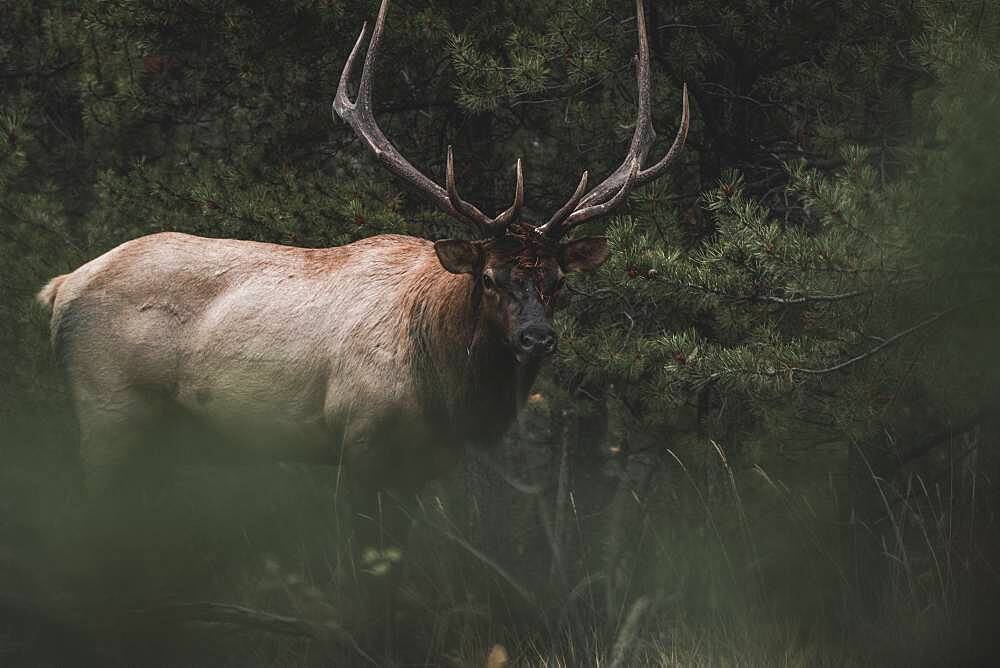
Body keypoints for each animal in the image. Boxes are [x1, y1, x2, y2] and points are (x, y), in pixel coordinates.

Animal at [37, 0, 688, 552]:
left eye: (557, 282)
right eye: (490, 277)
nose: (537, 337)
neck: (443, 391)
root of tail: (58, 289)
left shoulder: (422, 468)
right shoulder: (358, 442)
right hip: (108, 408)